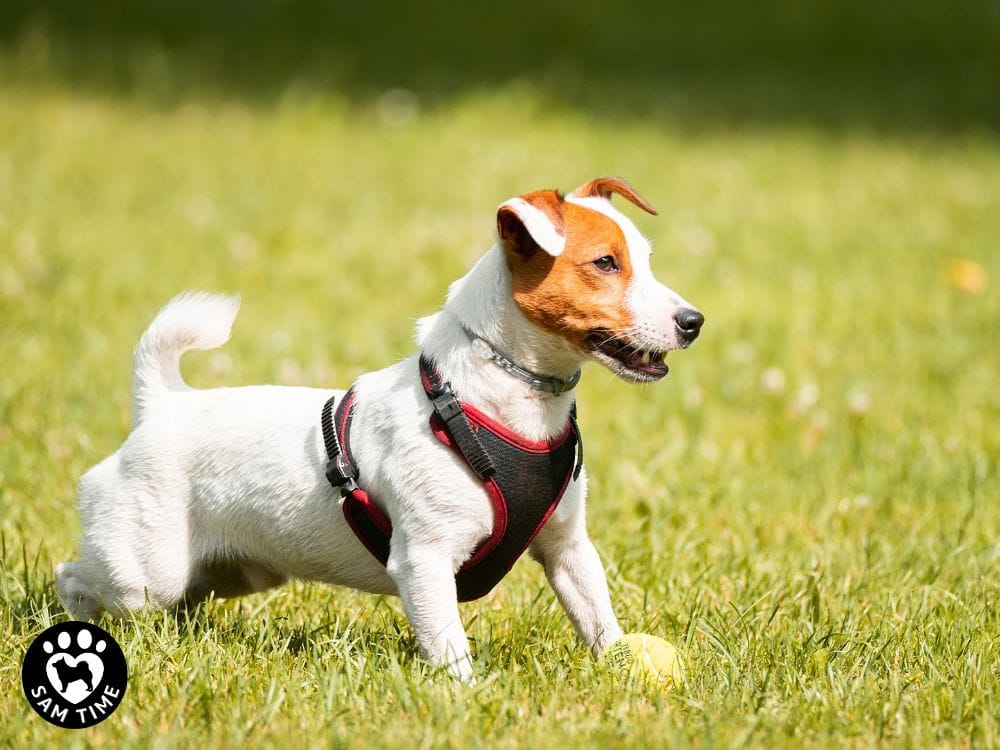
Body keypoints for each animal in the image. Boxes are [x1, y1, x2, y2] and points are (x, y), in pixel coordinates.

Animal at [56, 178, 704, 680]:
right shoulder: (425, 560)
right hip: (145, 569)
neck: (501, 403)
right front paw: (464, 697)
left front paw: (622, 666)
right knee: (77, 579)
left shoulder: (568, 550)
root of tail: (163, 404)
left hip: (230, 572)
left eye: (646, 260)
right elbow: (449, 645)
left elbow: (598, 619)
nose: (693, 321)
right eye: (605, 263)